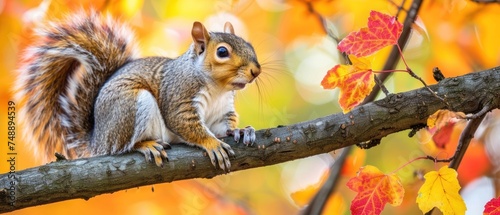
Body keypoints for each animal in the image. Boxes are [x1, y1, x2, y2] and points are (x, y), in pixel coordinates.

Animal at [13, 10, 260, 171]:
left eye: (249, 45)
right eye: (222, 52)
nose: (256, 71)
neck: (218, 88)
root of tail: (97, 139)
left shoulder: (221, 110)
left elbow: (222, 127)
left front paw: (239, 131)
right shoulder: (179, 96)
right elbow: (186, 125)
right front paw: (212, 144)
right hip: (131, 105)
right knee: (121, 148)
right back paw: (146, 145)